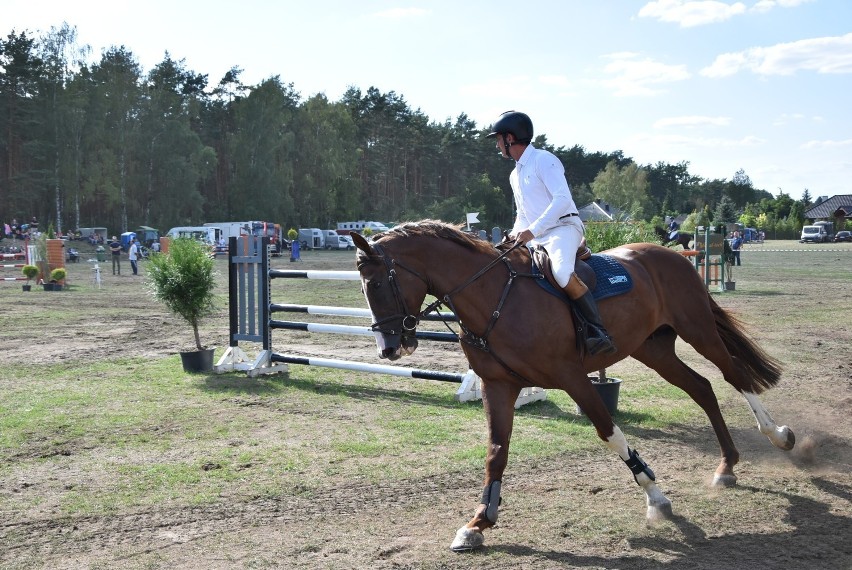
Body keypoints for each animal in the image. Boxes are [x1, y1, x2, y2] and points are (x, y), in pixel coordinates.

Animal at [350, 221, 796, 552]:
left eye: (377, 285)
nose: (389, 348)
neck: (494, 296)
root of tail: (672, 256)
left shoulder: (571, 376)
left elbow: (609, 432)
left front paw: (656, 497)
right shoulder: (498, 386)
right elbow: (496, 452)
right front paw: (478, 522)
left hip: (698, 330)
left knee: (734, 377)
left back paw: (778, 435)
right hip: (654, 349)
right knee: (702, 388)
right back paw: (727, 465)